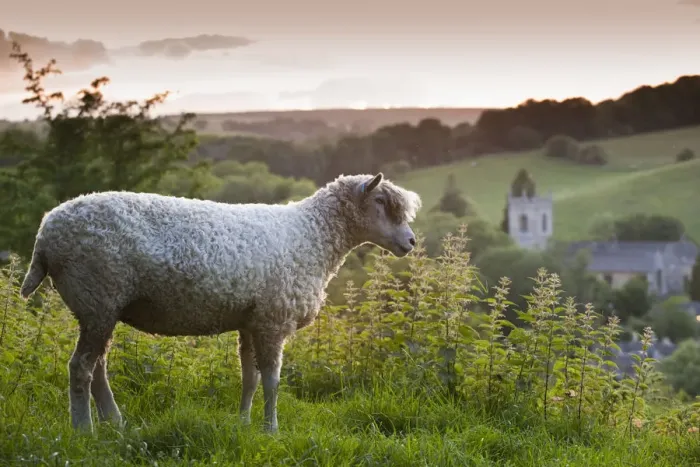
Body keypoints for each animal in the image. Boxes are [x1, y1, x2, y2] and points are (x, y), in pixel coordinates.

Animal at [19, 172, 422, 433]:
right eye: (381, 202)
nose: (411, 242)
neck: (313, 236)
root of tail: (46, 233)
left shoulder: (252, 320)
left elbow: (250, 378)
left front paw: (243, 423)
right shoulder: (273, 320)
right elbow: (273, 381)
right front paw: (271, 429)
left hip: (100, 307)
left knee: (97, 367)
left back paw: (115, 423)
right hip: (97, 298)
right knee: (80, 368)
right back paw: (83, 430)